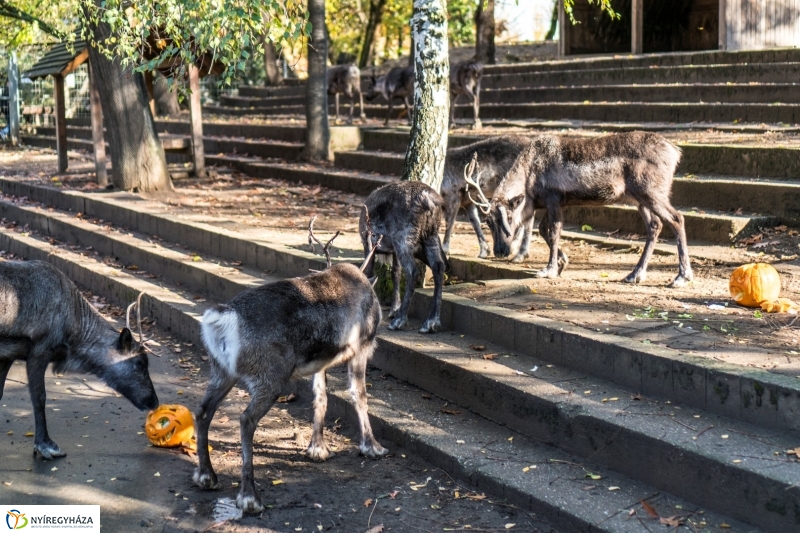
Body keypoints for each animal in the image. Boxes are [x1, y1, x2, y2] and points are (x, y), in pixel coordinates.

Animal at [0, 258, 159, 458]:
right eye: (140, 363)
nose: (154, 402)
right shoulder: (39, 351)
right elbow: (39, 397)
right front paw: (46, 444)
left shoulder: (9, 354)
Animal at [194, 220, 388, 512]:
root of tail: (223, 317)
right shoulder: (362, 347)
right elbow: (359, 396)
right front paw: (372, 446)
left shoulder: (320, 358)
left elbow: (320, 396)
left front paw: (317, 448)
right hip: (270, 378)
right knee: (246, 419)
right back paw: (250, 497)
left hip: (222, 371)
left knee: (203, 411)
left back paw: (206, 476)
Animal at [468, 130, 692, 284]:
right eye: (488, 222)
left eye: (508, 218)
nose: (500, 251)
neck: (528, 175)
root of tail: (675, 151)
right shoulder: (553, 204)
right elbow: (543, 230)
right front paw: (562, 262)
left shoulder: (553, 198)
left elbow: (553, 232)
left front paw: (549, 269)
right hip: (639, 199)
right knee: (655, 225)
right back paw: (635, 274)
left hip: (651, 192)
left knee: (676, 218)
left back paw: (682, 276)